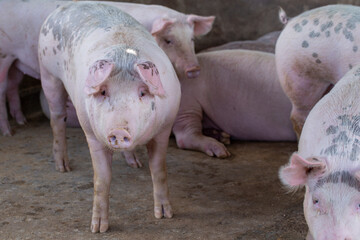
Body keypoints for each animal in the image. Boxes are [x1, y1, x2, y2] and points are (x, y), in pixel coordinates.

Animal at [0, 0, 214, 136]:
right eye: (169, 40)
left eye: (191, 39)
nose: (194, 69)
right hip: (4, 55)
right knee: (3, 88)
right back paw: (8, 133)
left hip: (17, 62)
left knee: (13, 84)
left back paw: (22, 121)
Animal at [37, 1, 180, 232]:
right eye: (103, 92)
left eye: (142, 92)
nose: (119, 131)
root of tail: (66, 6)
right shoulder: (92, 134)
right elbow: (101, 180)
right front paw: (97, 229)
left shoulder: (165, 127)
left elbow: (159, 170)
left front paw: (165, 216)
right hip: (48, 72)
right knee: (57, 118)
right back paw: (63, 167)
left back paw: (135, 164)